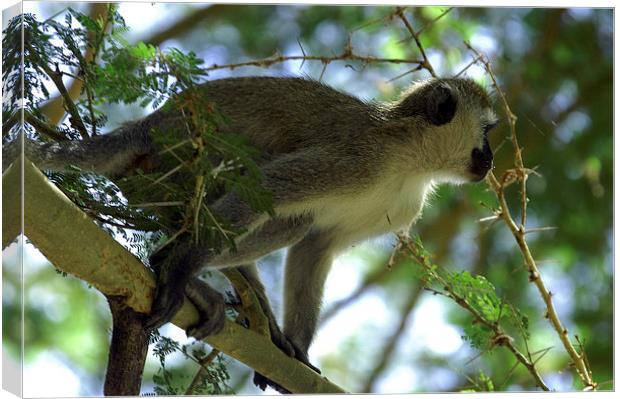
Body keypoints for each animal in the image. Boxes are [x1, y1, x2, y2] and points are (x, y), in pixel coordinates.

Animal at [2, 76, 498, 394]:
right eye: (488, 132)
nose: (492, 158)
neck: (409, 161)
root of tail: (148, 126)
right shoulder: (359, 159)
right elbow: (268, 186)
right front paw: (182, 267)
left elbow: (315, 246)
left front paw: (297, 350)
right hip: (179, 161)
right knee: (266, 199)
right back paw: (179, 268)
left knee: (294, 222)